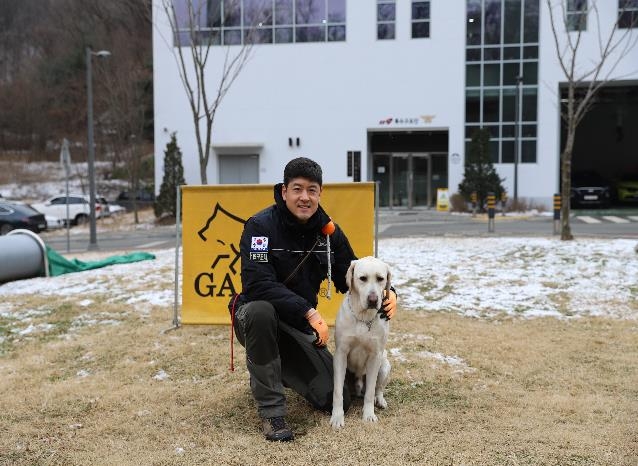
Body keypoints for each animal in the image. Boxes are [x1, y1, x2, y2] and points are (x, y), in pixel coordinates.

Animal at [332, 256, 392, 428]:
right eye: (362, 278)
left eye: (380, 278)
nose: (373, 300)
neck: (363, 317)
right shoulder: (341, 354)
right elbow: (338, 391)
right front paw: (337, 417)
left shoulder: (375, 356)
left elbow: (370, 392)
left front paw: (369, 415)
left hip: (385, 366)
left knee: (377, 389)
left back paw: (380, 400)